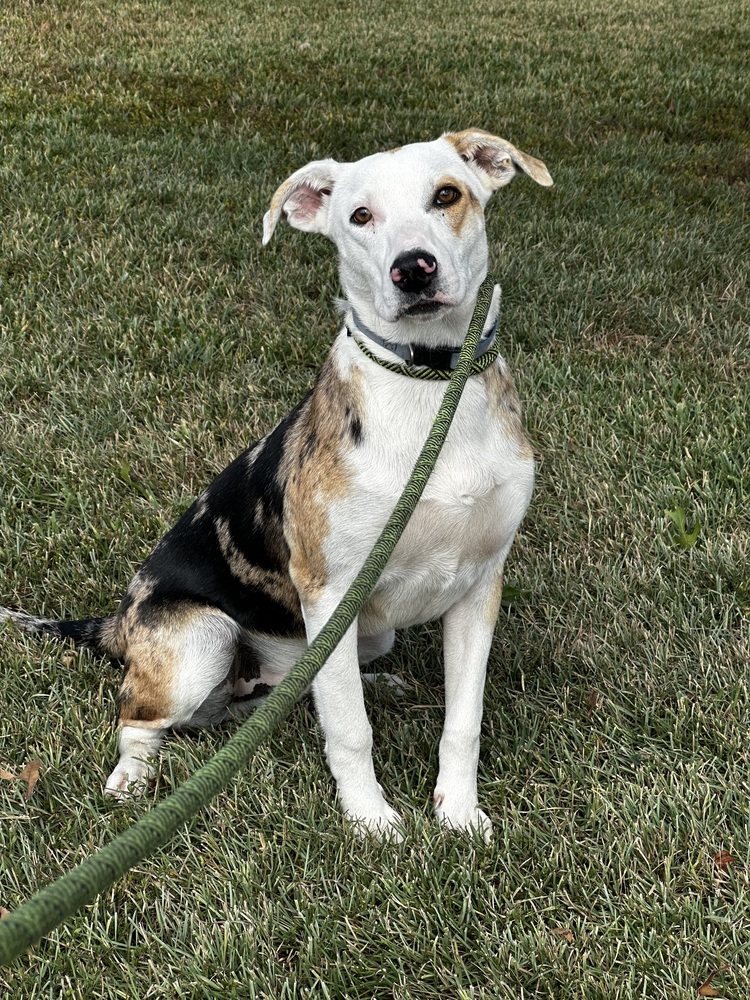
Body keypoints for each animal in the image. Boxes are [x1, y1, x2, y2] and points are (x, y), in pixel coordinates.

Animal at [1, 129, 552, 840]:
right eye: (360, 216)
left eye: (447, 195)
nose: (413, 269)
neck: (430, 385)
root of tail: (118, 623)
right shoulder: (330, 589)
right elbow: (349, 730)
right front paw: (371, 822)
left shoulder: (479, 586)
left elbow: (463, 721)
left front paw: (458, 814)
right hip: (201, 639)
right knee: (143, 717)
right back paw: (132, 777)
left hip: (355, 636)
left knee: (272, 699)